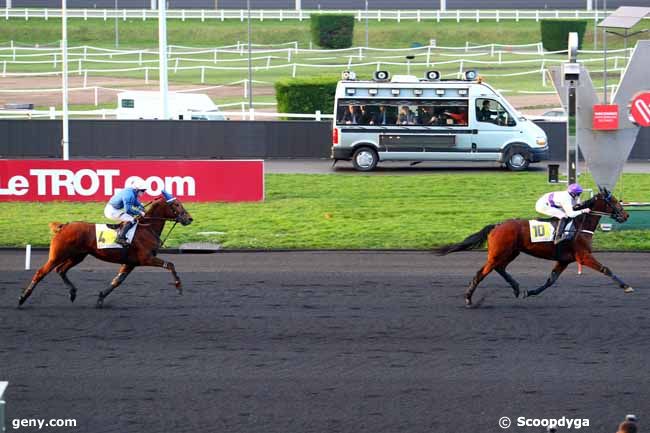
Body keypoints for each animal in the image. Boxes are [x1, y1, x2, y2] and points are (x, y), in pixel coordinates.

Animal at [18, 194, 192, 308]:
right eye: (176, 205)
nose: (189, 219)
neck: (147, 228)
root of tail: (64, 226)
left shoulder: (131, 263)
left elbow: (117, 281)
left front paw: (101, 298)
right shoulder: (145, 258)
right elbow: (170, 264)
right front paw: (179, 286)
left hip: (78, 256)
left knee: (61, 270)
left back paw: (73, 292)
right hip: (58, 255)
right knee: (41, 272)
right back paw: (22, 298)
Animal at [436, 190, 628, 308]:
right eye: (613, 201)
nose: (626, 215)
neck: (580, 225)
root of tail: (497, 225)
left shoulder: (564, 260)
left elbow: (550, 280)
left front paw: (530, 292)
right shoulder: (583, 256)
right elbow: (606, 269)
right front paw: (626, 286)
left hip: (510, 252)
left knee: (499, 268)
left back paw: (516, 288)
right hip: (499, 253)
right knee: (482, 272)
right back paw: (469, 299)